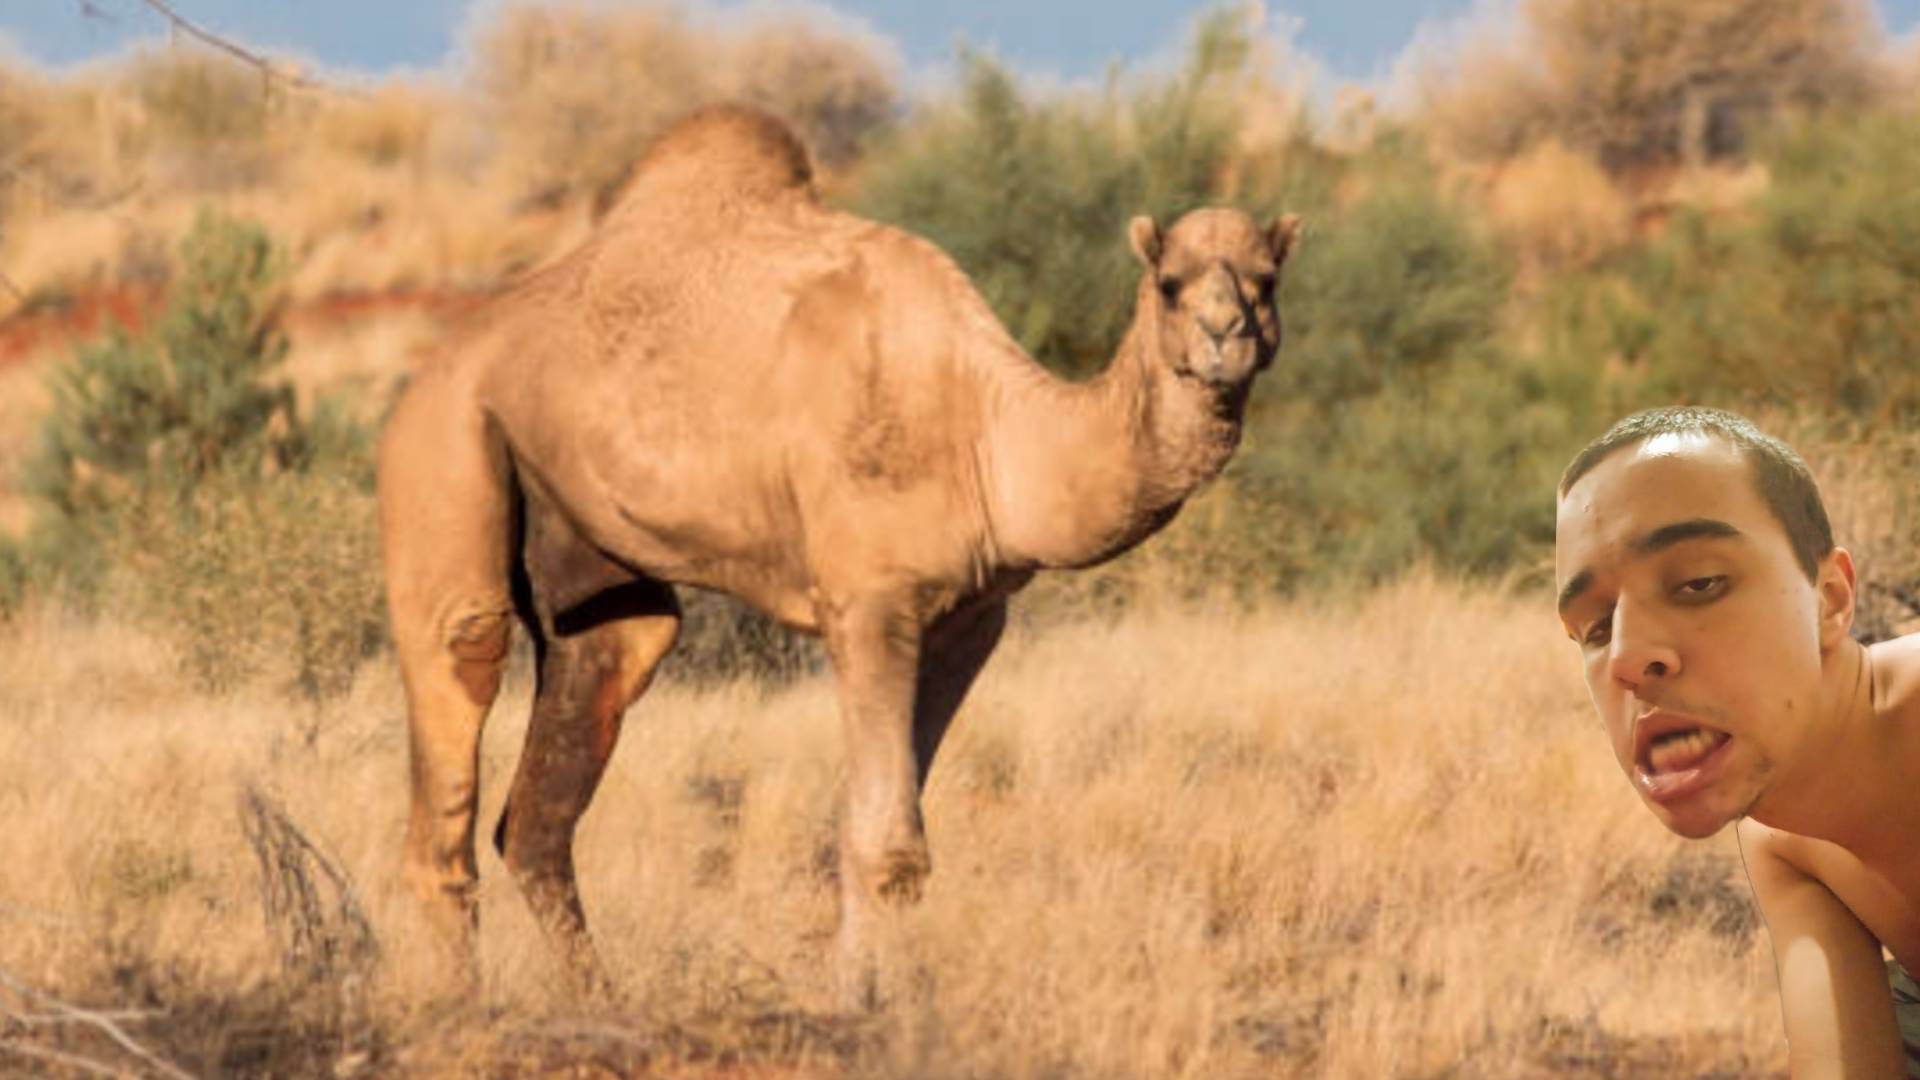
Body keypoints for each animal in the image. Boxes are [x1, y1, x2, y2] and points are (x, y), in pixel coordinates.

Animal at [377, 104, 1299, 997]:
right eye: (1171, 283)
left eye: (1265, 281)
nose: (1225, 333)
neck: (986, 431)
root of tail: (427, 370)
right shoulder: (868, 601)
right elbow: (886, 843)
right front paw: (861, 1008)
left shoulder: (970, 619)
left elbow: (869, 828)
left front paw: (865, 992)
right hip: (447, 448)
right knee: (455, 722)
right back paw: (460, 1011)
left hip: (597, 567)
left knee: (559, 771)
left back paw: (601, 1007)